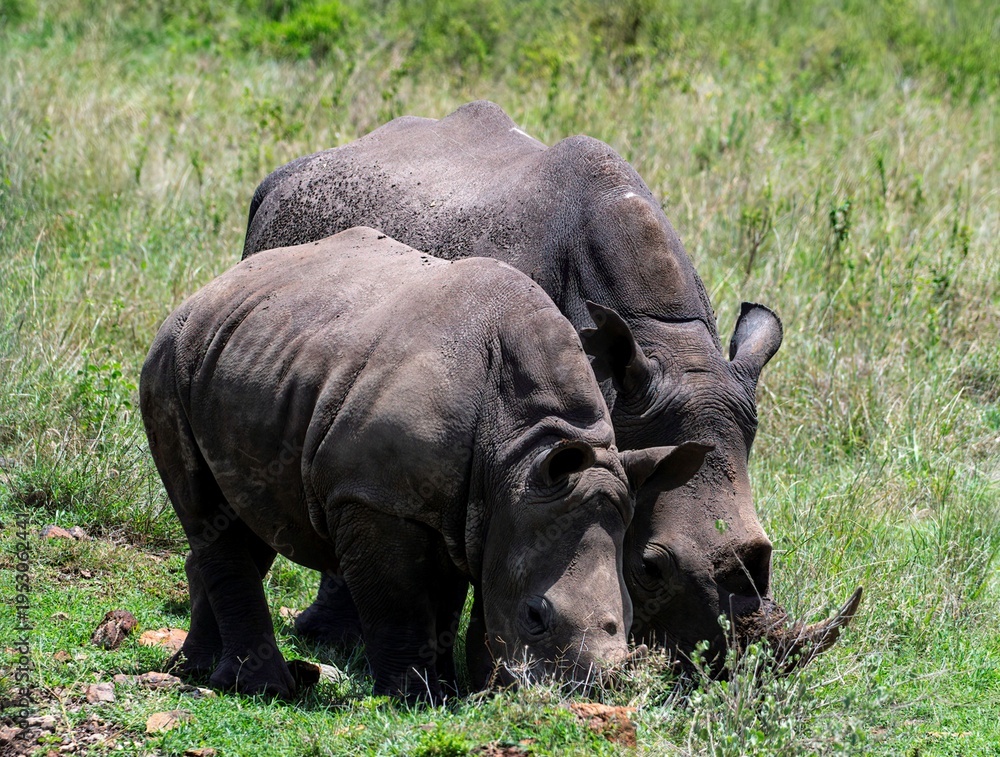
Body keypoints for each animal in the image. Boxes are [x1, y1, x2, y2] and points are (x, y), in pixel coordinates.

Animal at [140, 227, 707, 701]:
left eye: (630, 621)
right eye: (534, 617)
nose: (586, 693)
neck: (521, 453)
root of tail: (209, 289)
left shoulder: (473, 510)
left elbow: (447, 600)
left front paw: (452, 690)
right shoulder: (376, 497)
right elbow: (401, 601)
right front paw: (414, 698)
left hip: (248, 354)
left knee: (241, 515)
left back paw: (196, 671)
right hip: (168, 360)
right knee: (207, 510)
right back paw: (265, 689)